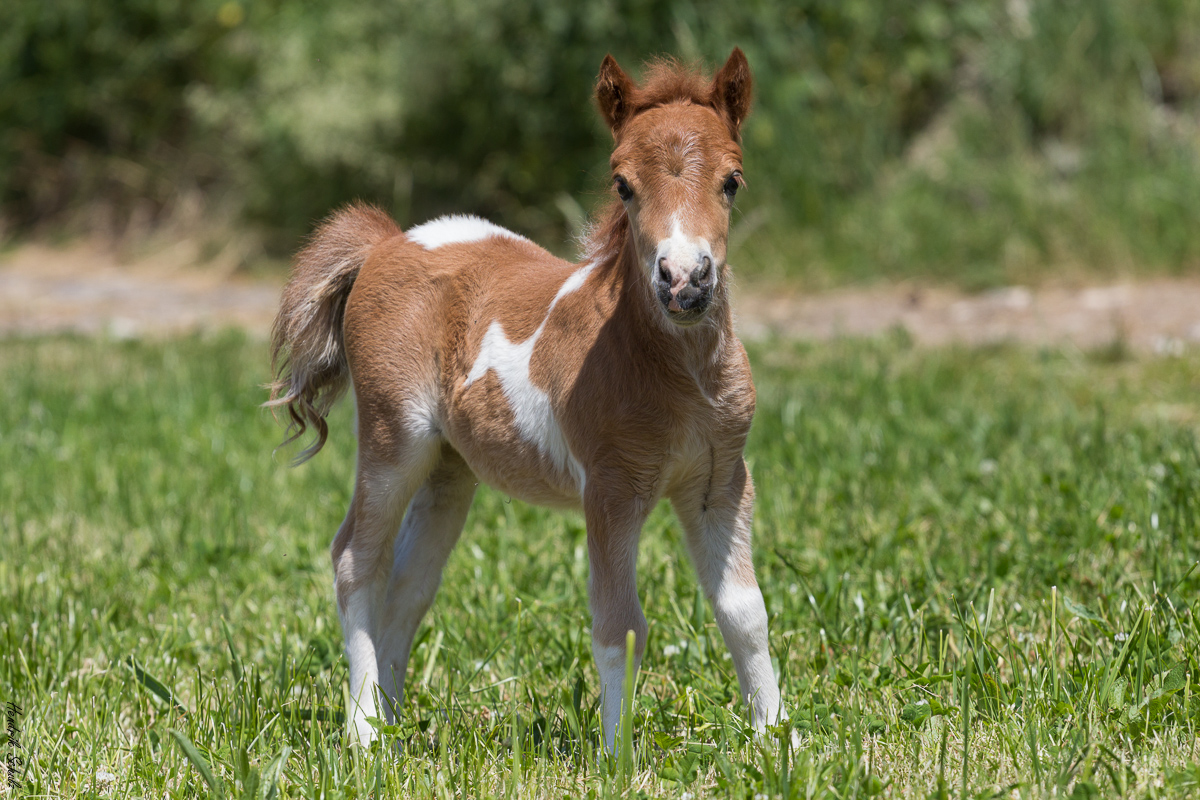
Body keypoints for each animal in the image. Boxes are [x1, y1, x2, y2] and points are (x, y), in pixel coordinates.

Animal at [267, 48, 782, 753]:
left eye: (732, 180)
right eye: (622, 184)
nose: (684, 282)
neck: (678, 374)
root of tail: (387, 242)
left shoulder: (720, 480)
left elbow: (744, 612)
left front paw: (779, 742)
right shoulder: (611, 490)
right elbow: (619, 625)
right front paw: (617, 759)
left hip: (451, 470)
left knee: (410, 585)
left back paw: (395, 723)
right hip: (393, 440)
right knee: (356, 560)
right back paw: (366, 732)